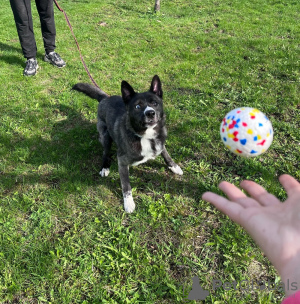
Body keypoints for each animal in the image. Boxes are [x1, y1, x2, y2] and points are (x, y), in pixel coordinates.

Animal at [74, 75, 184, 213]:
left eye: (155, 103)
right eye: (137, 106)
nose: (150, 113)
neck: (146, 136)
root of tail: (105, 98)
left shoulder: (160, 142)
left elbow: (165, 153)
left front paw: (174, 166)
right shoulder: (122, 161)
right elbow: (126, 184)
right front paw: (128, 202)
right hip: (105, 136)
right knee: (105, 152)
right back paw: (105, 167)